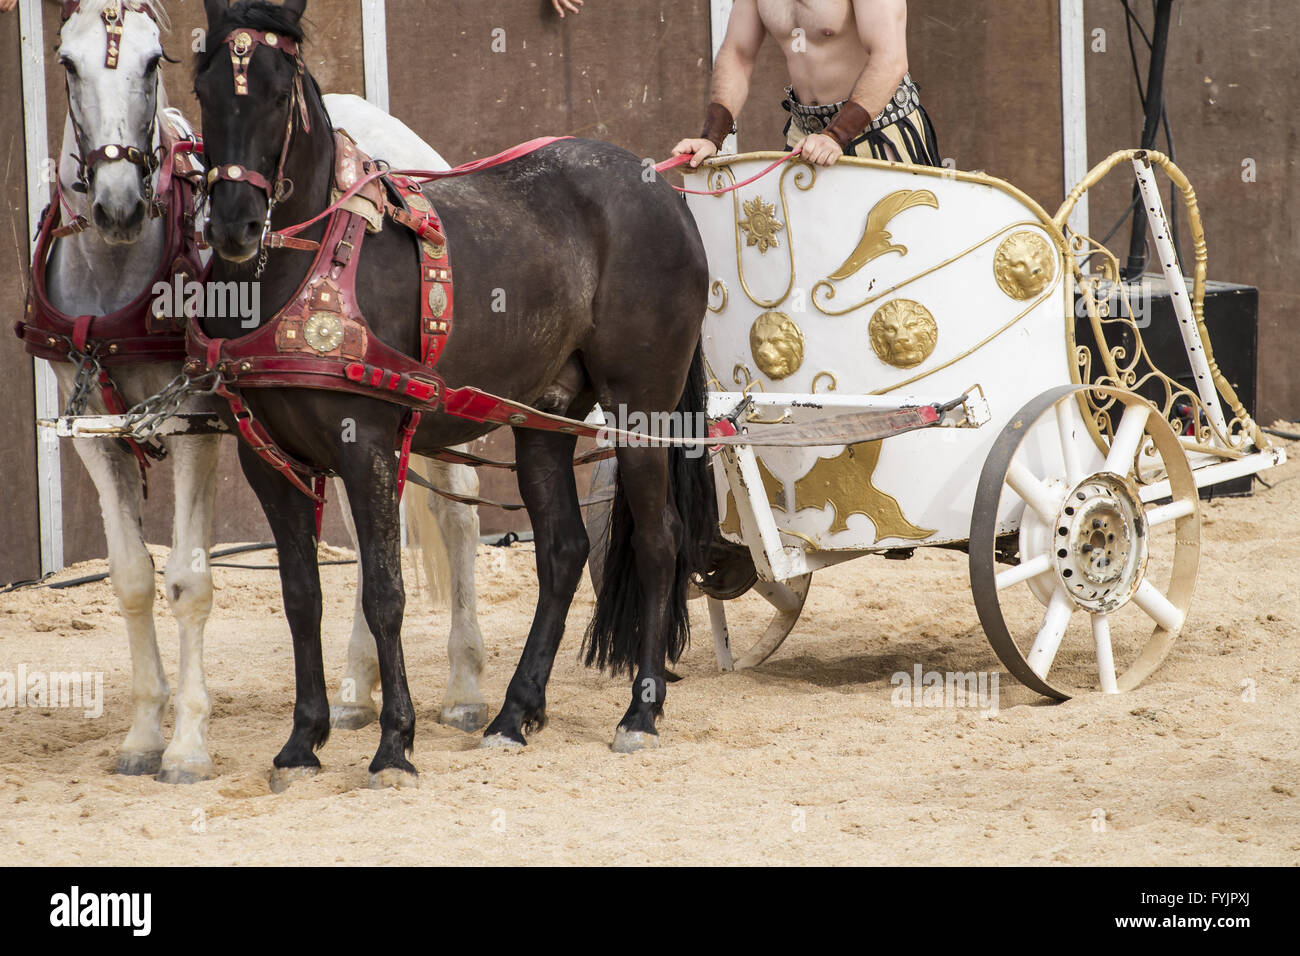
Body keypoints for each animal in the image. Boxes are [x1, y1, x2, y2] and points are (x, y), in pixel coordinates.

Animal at [43, 1, 486, 785]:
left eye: (153, 62)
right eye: (67, 62)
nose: (119, 205)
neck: (116, 276)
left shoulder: (196, 422)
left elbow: (188, 582)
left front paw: (187, 746)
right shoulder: (95, 430)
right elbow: (130, 578)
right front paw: (143, 734)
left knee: (458, 518)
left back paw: (464, 688)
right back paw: (357, 690)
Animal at [195, 0, 712, 785]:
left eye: (281, 94)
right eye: (204, 90)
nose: (236, 225)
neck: (305, 270)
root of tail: (659, 185)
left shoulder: (370, 448)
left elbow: (384, 593)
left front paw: (393, 745)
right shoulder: (271, 463)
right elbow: (301, 597)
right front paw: (302, 741)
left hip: (640, 408)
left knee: (659, 543)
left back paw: (639, 714)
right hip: (544, 418)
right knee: (562, 551)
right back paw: (512, 714)